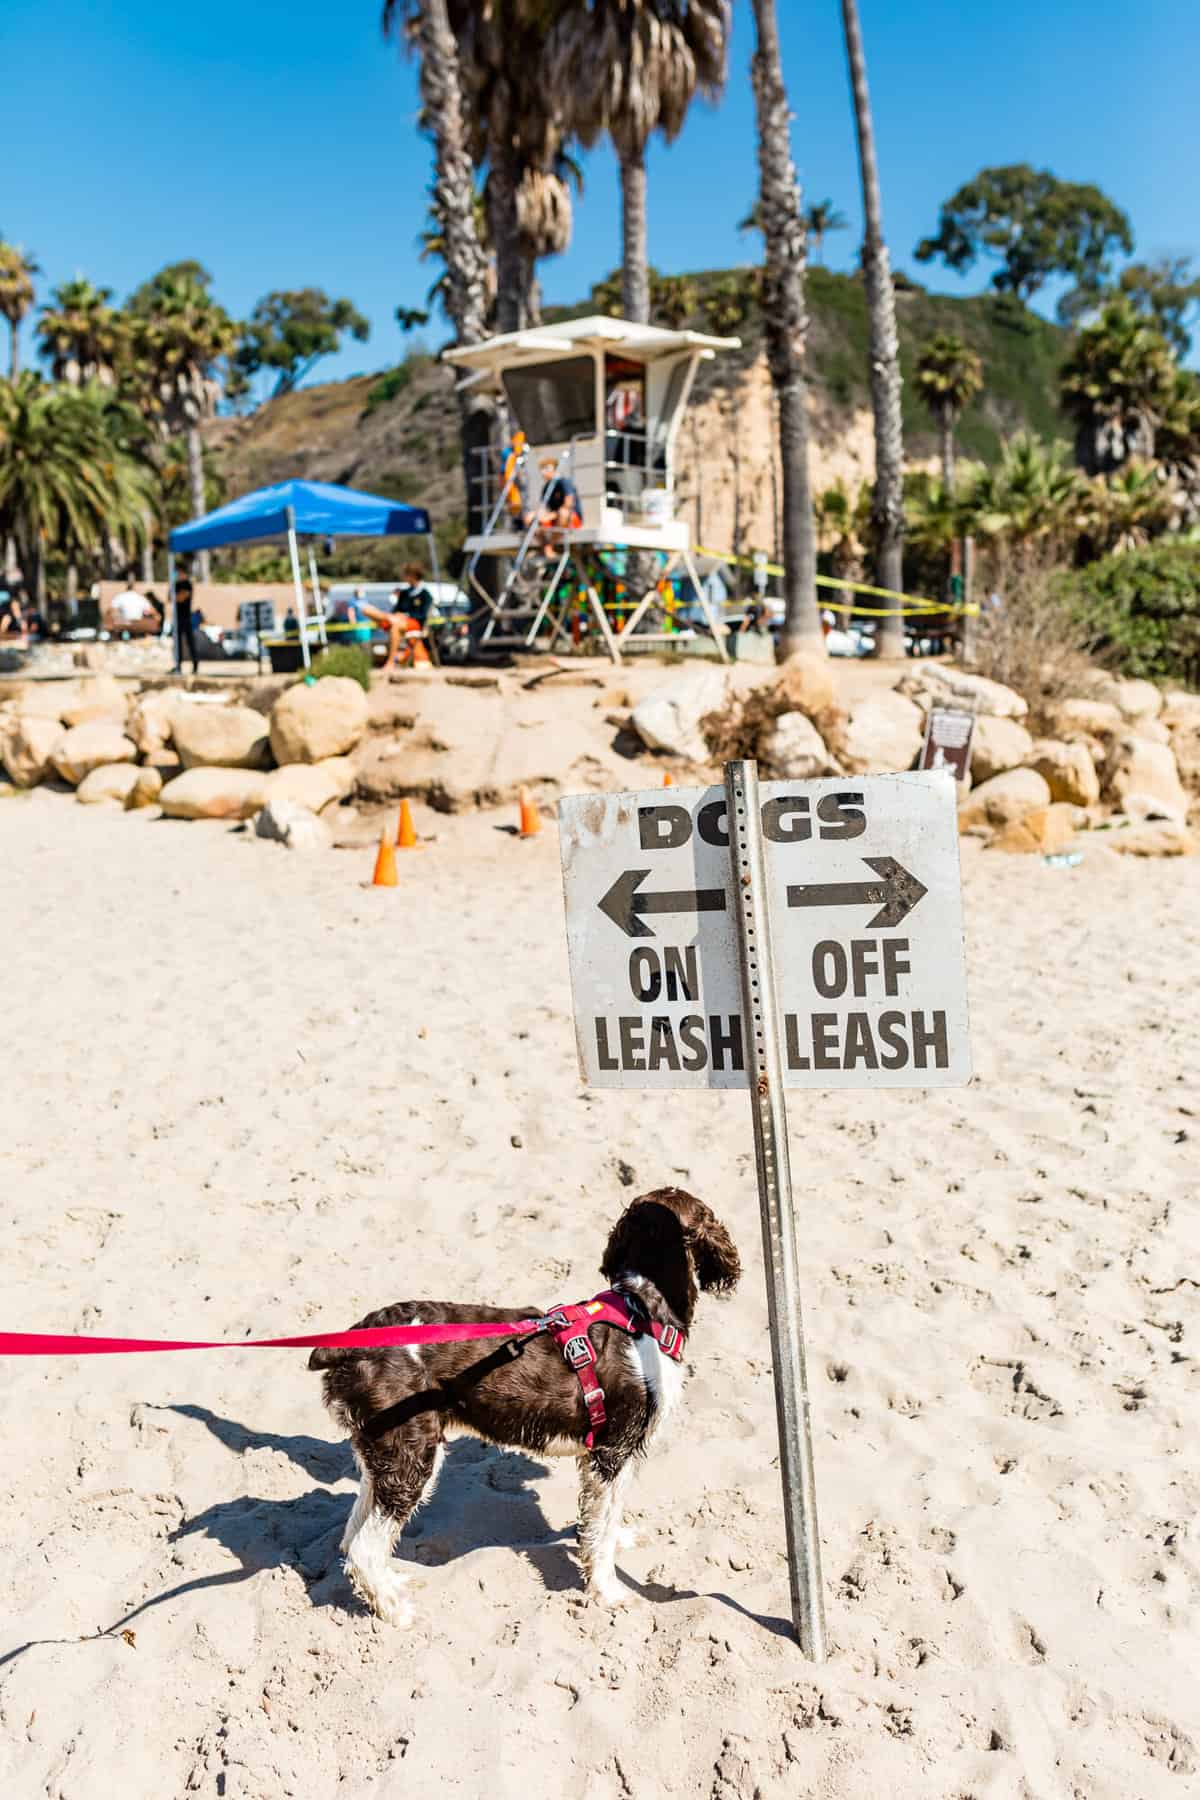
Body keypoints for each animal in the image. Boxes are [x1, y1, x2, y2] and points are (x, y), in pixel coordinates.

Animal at [307, 1188, 741, 1627]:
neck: (641, 1308)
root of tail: (350, 1345)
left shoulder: (623, 1454)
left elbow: (608, 1516)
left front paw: (617, 1542)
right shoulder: (611, 1451)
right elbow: (600, 1529)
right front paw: (608, 1591)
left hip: (382, 1449)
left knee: (351, 1534)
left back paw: (389, 1587)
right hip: (411, 1454)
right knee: (364, 1547)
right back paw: (397, 1612)